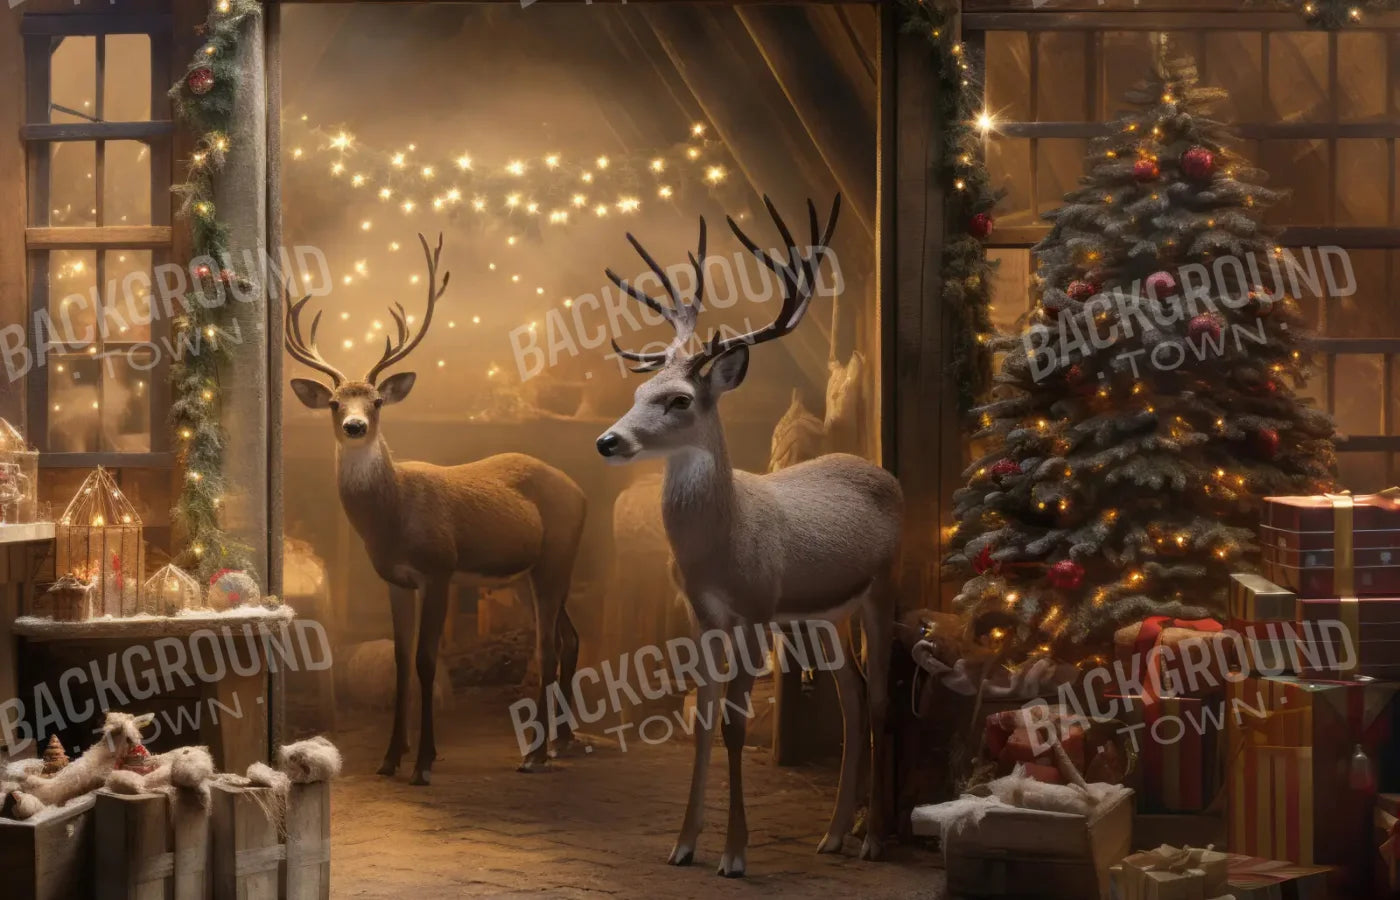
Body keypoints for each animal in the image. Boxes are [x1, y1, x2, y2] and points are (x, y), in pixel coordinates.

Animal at [285, 234, 588, 784]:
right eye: (336, 402)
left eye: (378, 400)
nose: (356, 426)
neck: (394, 515)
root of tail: (580, 490)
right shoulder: (395, 578)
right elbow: (401, 660)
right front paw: (389, 758)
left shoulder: (440, 568)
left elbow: (427, 660)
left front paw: (424, 761)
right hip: (531, 572)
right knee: (569, 638)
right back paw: (563, 742)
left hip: (558, 557)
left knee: (549, 646)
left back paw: (534, 754)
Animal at [594, 196, 902, 876]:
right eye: (639, 390)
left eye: (680, 400)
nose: (608, 440)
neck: (721, 549)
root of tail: (880, 469)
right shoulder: (704, 613)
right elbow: (704, 720)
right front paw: (683, 844)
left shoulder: (758, 608)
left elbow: (736, 724)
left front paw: (734, 853)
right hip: (816, 616)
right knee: (850, 694)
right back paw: (832, 835)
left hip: (881, 587)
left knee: (878, 696)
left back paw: (871, 839)